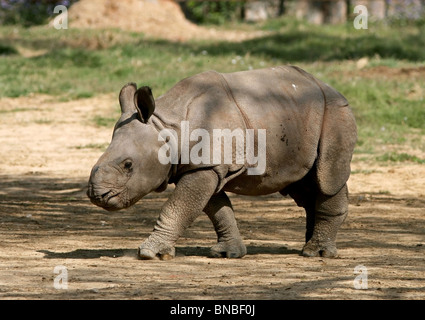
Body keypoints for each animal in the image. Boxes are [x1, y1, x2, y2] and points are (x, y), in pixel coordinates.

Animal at [88, 65, 356, 260]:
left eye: (128, 165)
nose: (97, 196)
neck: (168, 126)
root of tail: (332, 88)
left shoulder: (206, 165)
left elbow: (178, 207)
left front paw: (150, 253)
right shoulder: (204, 167)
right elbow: (217, 209)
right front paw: (229, 253)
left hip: (334, 113)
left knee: (326, 178)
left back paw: (316, 253)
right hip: (296, 118)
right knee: (303, 184)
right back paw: (308, 245)